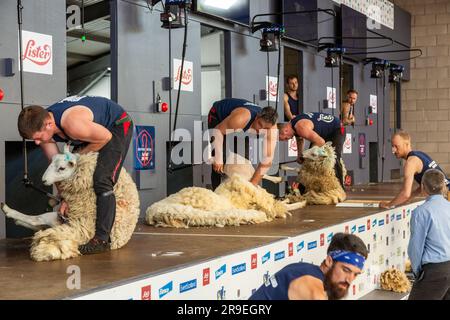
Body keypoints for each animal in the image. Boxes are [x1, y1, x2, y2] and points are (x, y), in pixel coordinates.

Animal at [0, 146, 140, 262]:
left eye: (62, 168)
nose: (43, 180)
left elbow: (36, 219)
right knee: (39, 225)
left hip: (63, 222)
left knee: (36, 220)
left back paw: (8, 210)